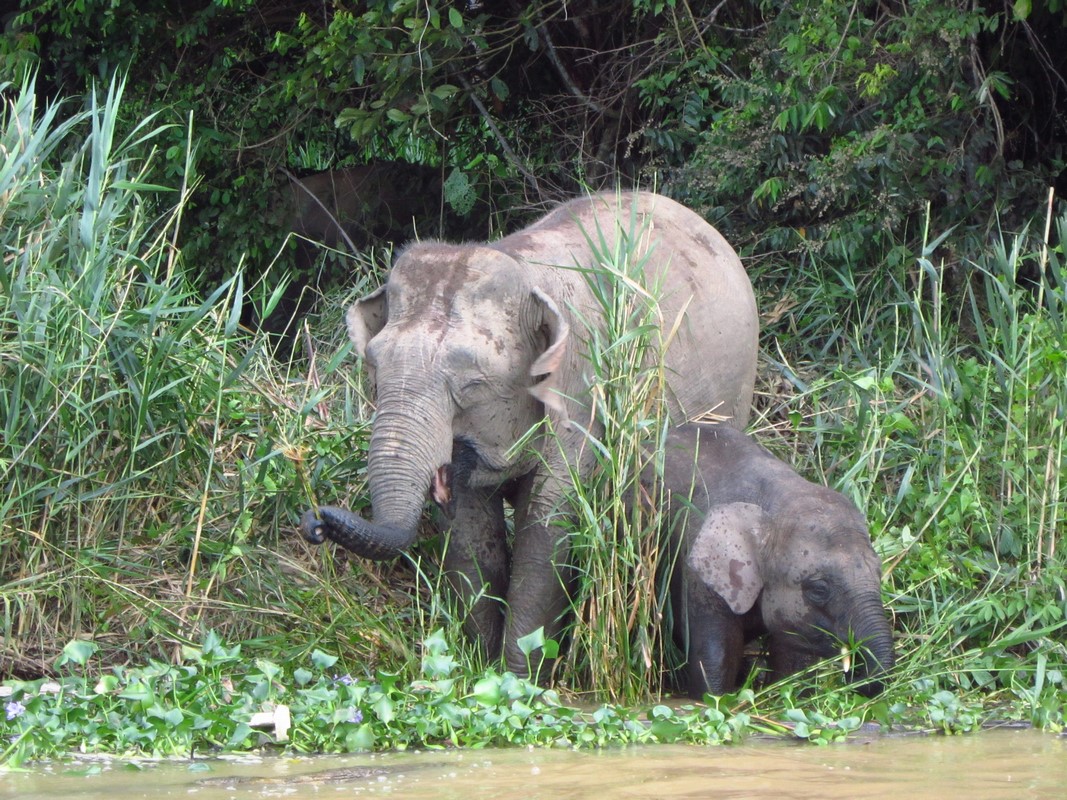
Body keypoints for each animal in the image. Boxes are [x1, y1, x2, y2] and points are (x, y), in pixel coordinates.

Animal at [300, 190, 759, 678]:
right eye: (373, 369)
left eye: (471, 384)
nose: (316, 521)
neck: (521, 267)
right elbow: (470, 531)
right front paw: (479, 669)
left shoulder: (583, 390)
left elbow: (549, 527)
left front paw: (519, 678)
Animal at [657, 422, 892, 699]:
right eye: (819, 589)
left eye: (880, 575)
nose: (855, 672)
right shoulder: (697, 578)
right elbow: (716, 659)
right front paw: (713, 698)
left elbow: (793, 659)